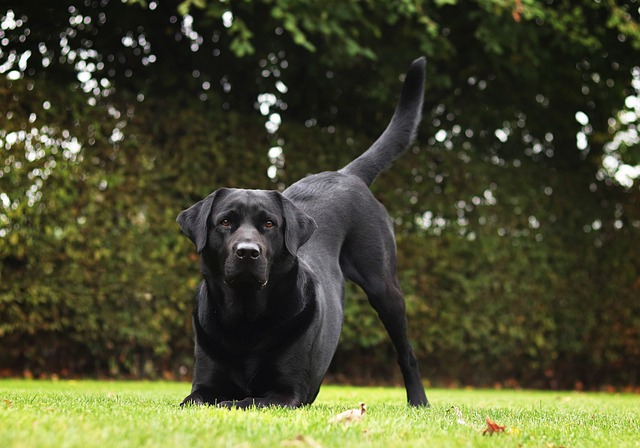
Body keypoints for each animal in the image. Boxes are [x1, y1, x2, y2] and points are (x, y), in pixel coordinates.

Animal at [176, 57, 430, 410]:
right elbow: (201, 399)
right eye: (225, 222)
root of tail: (346, 173)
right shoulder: (201, 387)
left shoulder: (286, 393)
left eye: (269, 224)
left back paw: (419, 401)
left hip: (385, 288)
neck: (246, 318)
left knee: (407, 353)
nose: (247, 252)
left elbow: (242, 400)